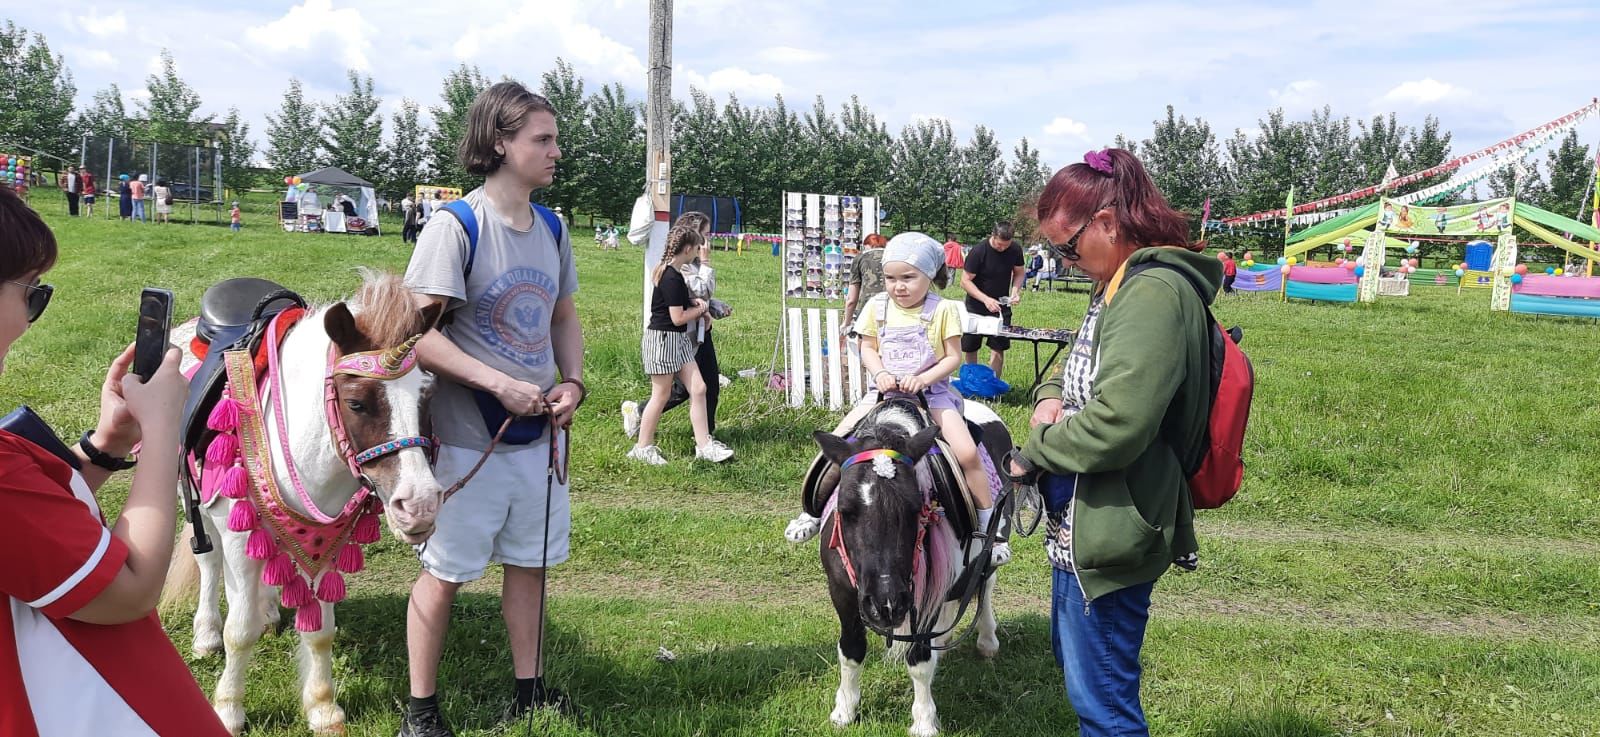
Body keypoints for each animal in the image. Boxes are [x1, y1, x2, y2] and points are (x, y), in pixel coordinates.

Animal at [166, 271, 444, 735]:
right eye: (356, 402)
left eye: (427, 396)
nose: (419, 504)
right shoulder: (238, 536)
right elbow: (238, 630)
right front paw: (228, 710)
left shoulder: (330, 542)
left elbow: (320, 630)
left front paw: (323, 708)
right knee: (208, 562)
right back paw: (205, 634)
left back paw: (268, 611)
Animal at [812, 396, 1011, 735]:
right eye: (846, 510)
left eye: (915, 509)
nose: (885, 605)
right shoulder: (841, 590)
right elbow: (851, 650)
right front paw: (845, 711)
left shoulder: (924, 593)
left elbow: (919, 659)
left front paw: (924, 722)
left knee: (984, 587)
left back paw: (987, 640)